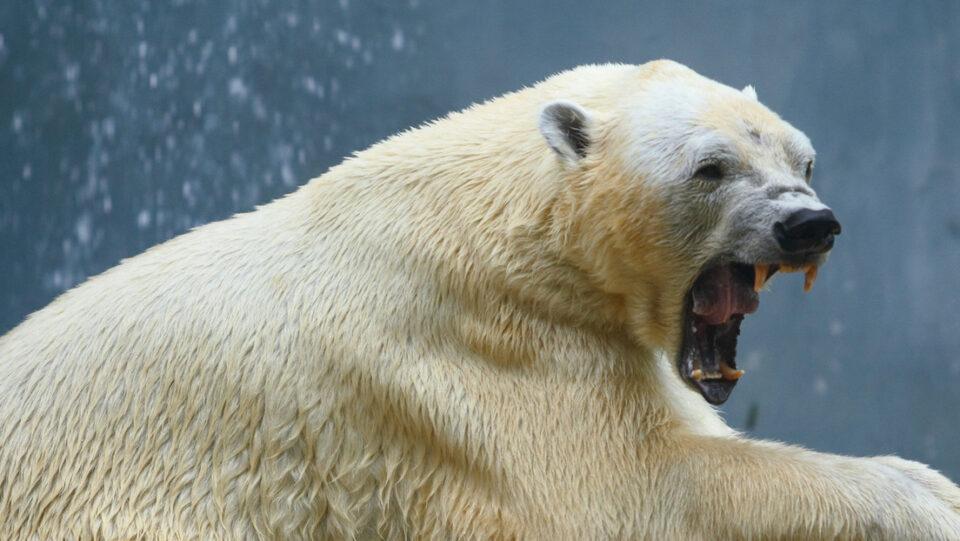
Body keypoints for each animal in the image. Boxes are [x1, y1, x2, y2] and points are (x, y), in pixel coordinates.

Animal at [1, 60, 959, 539]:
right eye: (710, 167)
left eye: (803, 157)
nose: (808, 224)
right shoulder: (478, 351)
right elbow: (636, 492)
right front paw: (924, 500)